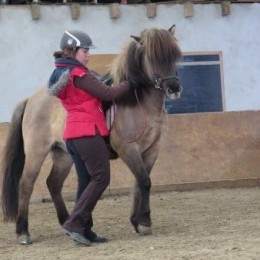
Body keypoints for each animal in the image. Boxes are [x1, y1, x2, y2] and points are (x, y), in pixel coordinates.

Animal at [1, 25, 182, 245]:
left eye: (174, 55)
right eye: (151, 57)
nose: (174, 88)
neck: (137, 103)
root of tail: (31, 99)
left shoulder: (151, 150)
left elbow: (141, 182)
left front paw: (137, 220)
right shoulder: (128, 148)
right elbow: (144, 181)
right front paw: (144, 222)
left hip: (64, 155)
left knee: (53, 183)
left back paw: (67, 223)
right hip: (36, 153)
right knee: (26, 184)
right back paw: (23, 231)